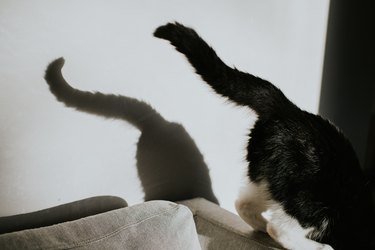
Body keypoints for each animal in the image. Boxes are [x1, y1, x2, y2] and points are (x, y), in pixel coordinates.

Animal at [153, 22, 375, 249]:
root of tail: (288, 108)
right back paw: (319, 246)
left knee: (243, 204)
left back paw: (261, 226)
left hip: (269, 180)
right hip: (320, 198)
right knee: (280, 228)